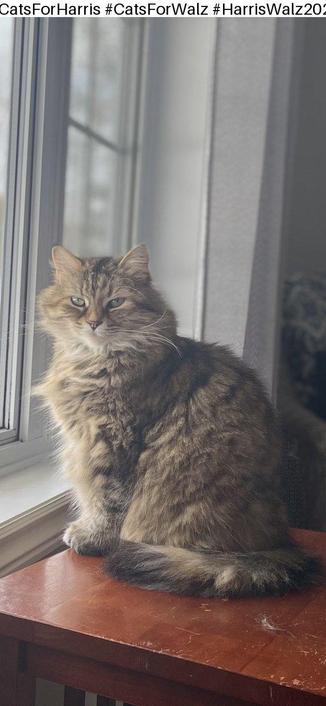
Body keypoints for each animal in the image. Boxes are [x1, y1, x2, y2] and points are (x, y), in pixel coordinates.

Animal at [37, 242, 320, 592]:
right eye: (78, 301)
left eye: (115, 302)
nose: (93, 323)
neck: (94, 362)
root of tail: (279, 544)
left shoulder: (113, 444)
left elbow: (107, 502)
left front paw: (92, 538)